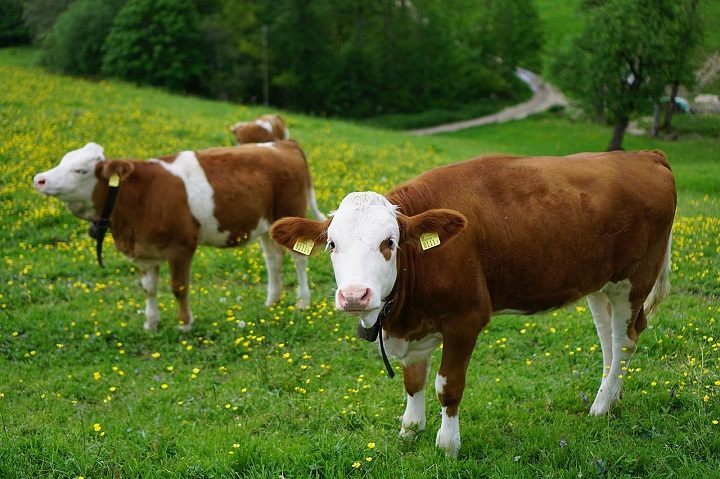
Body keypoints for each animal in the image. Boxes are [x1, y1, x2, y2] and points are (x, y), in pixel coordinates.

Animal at [33, 141, 326, 332]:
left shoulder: (181, 247)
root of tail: (282, 143)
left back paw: (302, 301)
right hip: (268, 225)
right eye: (63, 160)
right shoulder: (145, 252)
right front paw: (151, 323)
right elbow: (149, 288)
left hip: (291, 210)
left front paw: (185, 324)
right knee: (273, 261)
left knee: (299, 261)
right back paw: (271, 301)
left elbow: (179, 287)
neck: (139, 196)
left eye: (80, 170)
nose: (40, 179)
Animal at [268, 150, 676, 458]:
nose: (355, 296)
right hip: (600, 282)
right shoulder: (413, 329)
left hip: (635, 278)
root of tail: (644, 154)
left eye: (389, 242)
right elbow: (413, 382)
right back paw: (610, 397)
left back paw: (602, 405)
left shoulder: (466, 319)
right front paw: (409, 431)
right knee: (608, 338)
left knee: (626, 340)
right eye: (332, 244)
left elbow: (447, 385)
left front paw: (447, 445)